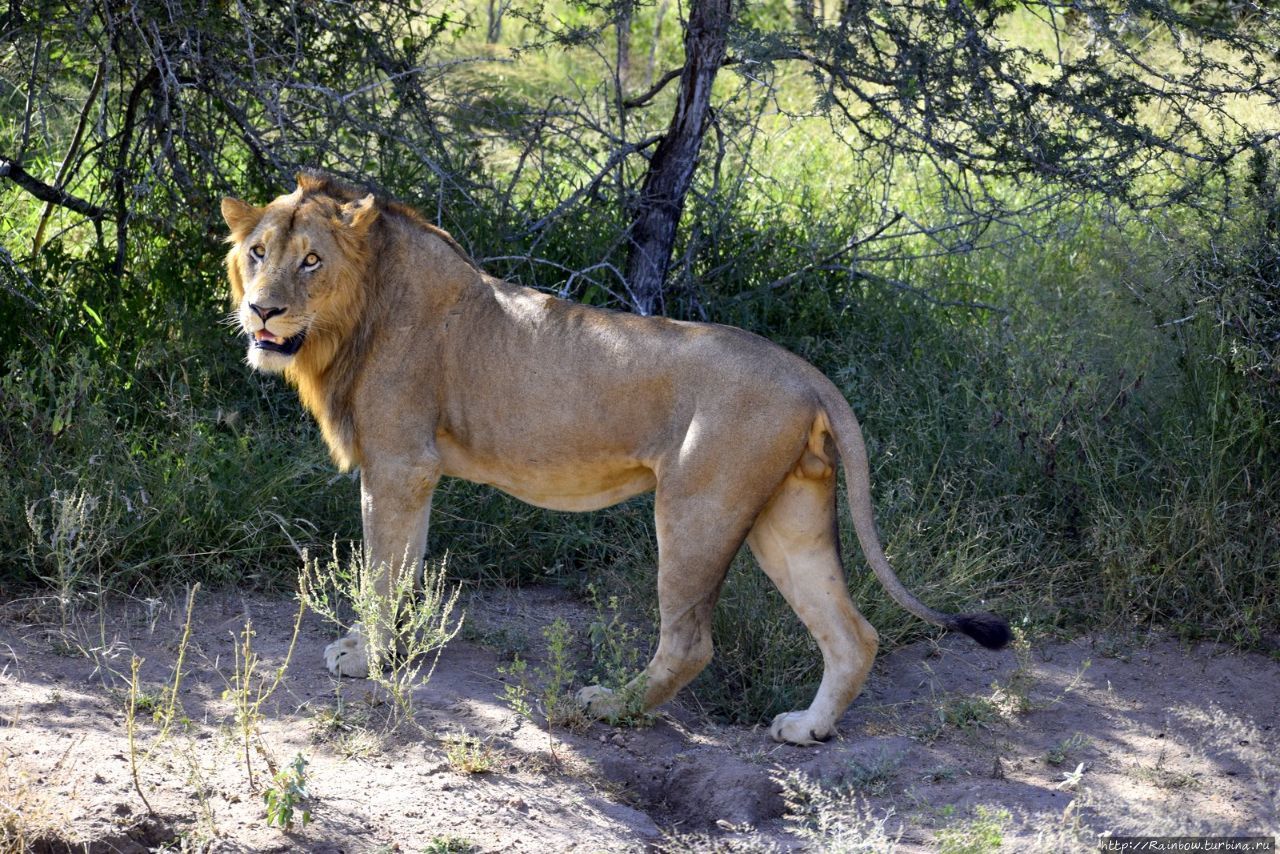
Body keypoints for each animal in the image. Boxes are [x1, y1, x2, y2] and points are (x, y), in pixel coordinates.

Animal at [220, 170, 1008, 742]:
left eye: (310, 260)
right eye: (257, 253)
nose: (262, 310)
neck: (356, 317)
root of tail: (807, 373)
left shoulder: (398, 463)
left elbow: (381, 572)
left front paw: (363, 657)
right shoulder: (412, 472)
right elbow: (405, 566)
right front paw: (392, 649)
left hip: (697, 507)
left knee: (690, 641)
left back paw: (609, 706)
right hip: (788, 518)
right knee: (853, 633)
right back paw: (807, 729)